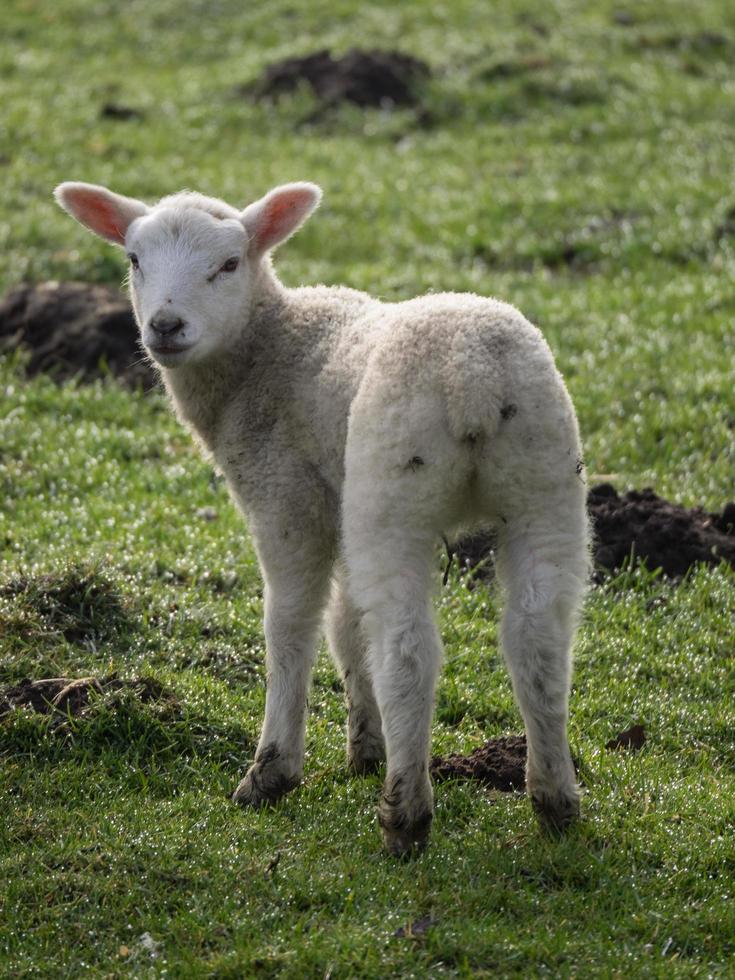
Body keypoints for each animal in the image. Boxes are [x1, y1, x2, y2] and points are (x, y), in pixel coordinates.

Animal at [53, 180, 592, 852]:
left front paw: (274, 770)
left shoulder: (287, 497)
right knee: (538, 638)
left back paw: (405, 814)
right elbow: (346, 624)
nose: (166, 326)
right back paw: (555, 800)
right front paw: (365, 744)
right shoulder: (336, 498)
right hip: (544, 480)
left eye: (229, 264)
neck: (267, 350)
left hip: (393, 490)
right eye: (133, 260)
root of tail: (474, 377)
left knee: (408, 648)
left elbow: (291, 625)